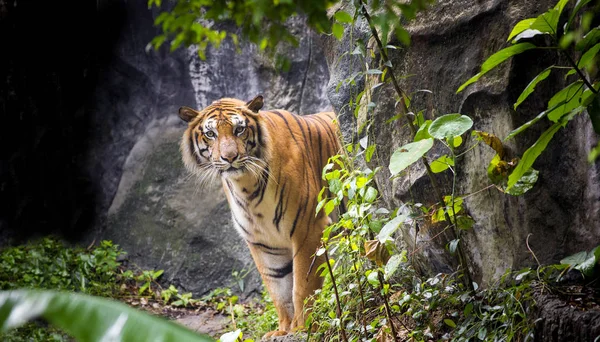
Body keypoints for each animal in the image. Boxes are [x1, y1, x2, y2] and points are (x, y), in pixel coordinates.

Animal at [178, 95, 342, 336]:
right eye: (210, 134)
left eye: (239, 129)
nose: (229, 157)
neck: (246, 186)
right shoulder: (263, 243)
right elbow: (279, 290)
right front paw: (283, 329)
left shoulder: (309, 229)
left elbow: (302, 284)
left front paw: (302, 327)